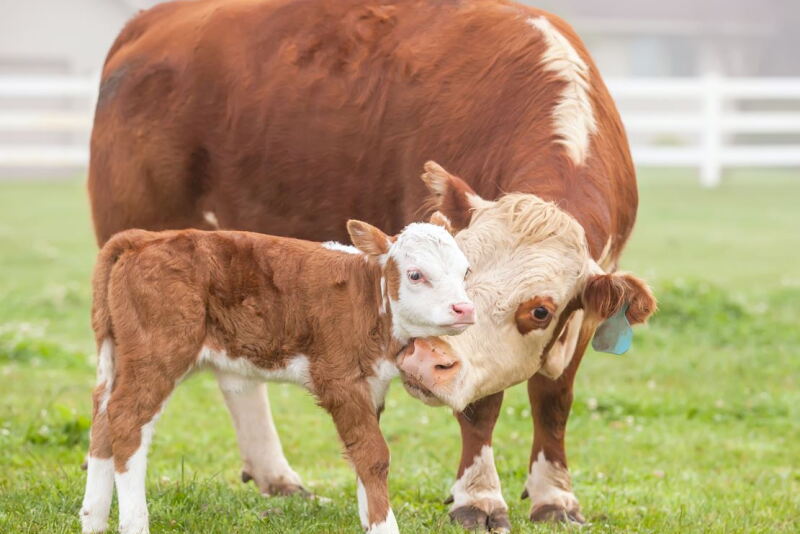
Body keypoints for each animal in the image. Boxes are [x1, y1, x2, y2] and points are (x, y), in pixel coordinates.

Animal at [79, 217, 475, 534]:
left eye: (465, 271)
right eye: (415, 274)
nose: (464, 308)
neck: (365, 299)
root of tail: (144, 238)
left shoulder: (372, 384)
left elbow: (361, 454)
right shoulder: (338, 379)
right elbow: (373, 455)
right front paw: (383, 526)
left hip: (118, 355)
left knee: (103, 417)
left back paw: (93, 520)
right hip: (159, 353)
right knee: (128, 419)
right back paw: (133, 523)